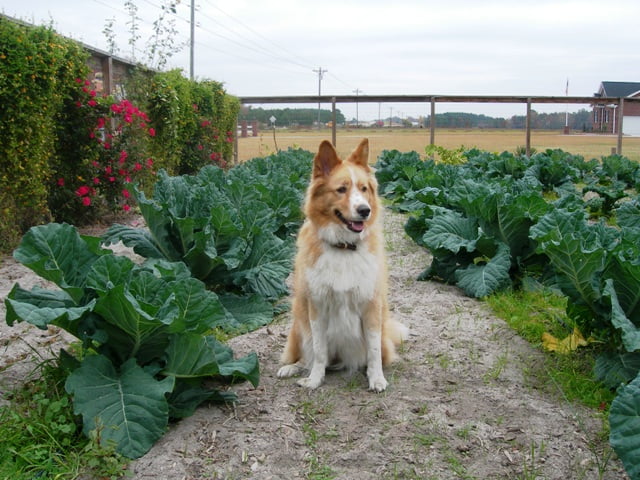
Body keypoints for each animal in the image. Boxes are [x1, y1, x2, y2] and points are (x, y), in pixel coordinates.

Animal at [278, 138, 408, 390]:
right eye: (341, 189)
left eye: (364, 189)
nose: (365, 210)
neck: (344, 247)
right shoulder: (317, 307)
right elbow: (319, 351)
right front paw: (314, 380)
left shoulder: (371, 306)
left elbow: (374, 352)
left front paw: (376, 378)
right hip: (299, 324)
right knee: (308, 356)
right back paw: (293, 368)